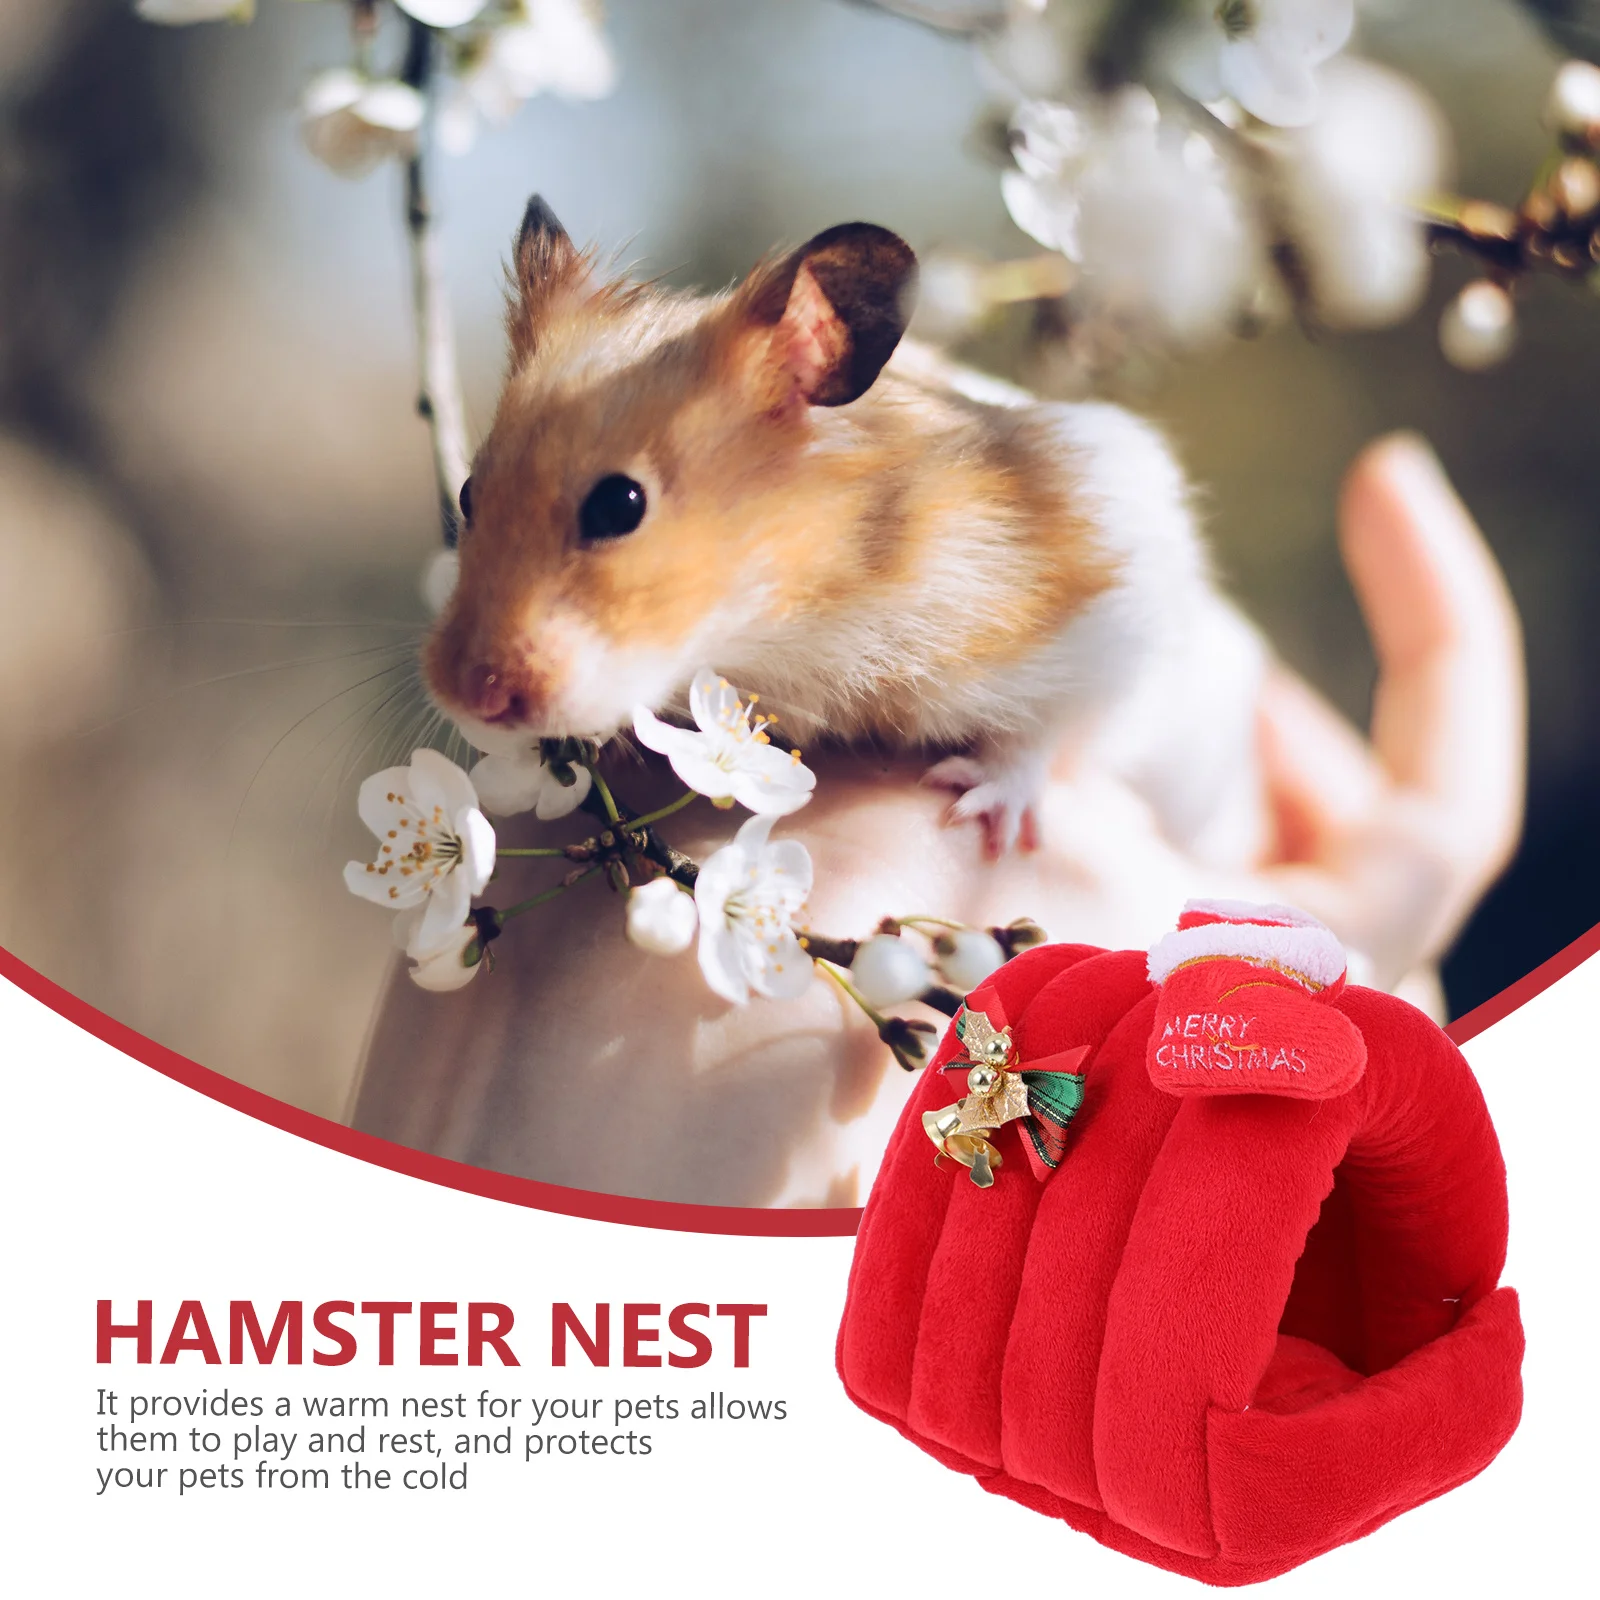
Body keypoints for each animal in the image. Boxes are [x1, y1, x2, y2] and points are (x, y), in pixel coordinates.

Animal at [425, 196, 1267, 864]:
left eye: (618, 506)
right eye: (467, 493)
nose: (467, 696)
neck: (797, 615)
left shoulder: (1117, 596)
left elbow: (1047, 730)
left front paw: (978, 810)